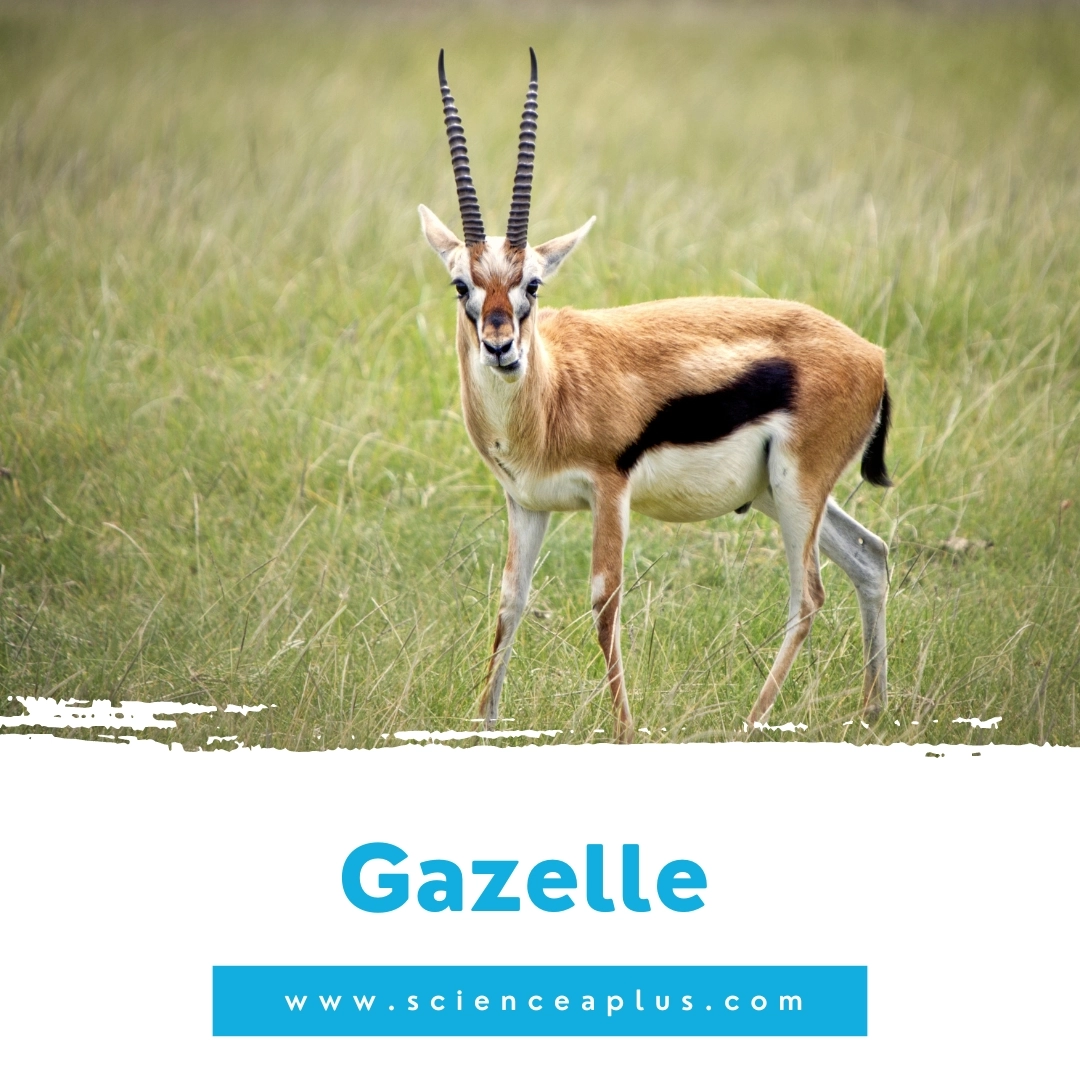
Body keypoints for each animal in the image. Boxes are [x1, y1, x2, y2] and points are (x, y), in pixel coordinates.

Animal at [420, 50, 892, 743]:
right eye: (462, 286)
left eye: (532, 283)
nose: (500, 347)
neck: (551, 393)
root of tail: (872, 355)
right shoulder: (525, 504)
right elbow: (510, 602)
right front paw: (484, 726)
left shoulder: (609, 492)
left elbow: (603, 603)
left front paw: (625, 731)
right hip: (779, 494)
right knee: (870, 558)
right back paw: (872, 712)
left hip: (797, 488)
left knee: (808, 595)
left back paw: (752, 723)